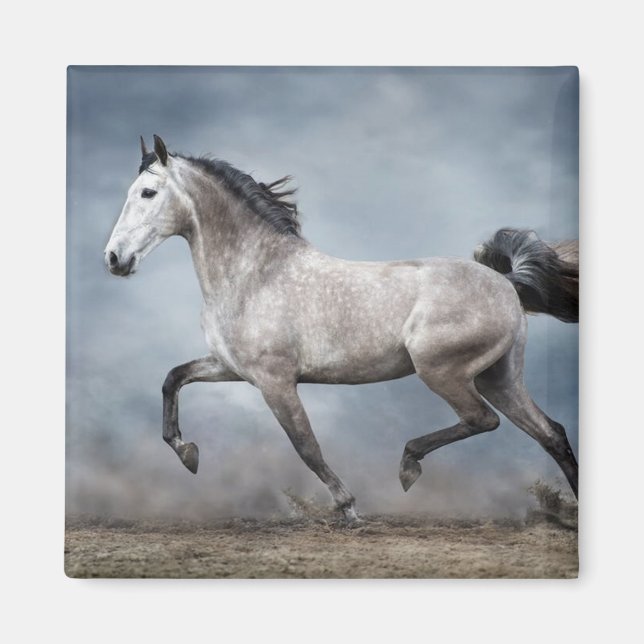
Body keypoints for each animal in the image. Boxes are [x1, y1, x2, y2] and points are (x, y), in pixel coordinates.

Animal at [104, 135, 579, 523]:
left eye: (148, 192)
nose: (114, 258)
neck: (256, 274)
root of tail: (506, 283)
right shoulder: (231, 367)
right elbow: (173, 379)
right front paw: (188, 453)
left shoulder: (274, 380)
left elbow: (306, 446)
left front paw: (349, 508)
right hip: (499, 376)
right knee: (551, 433)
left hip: (443, 371)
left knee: (482, 419)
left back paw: (408, 465)